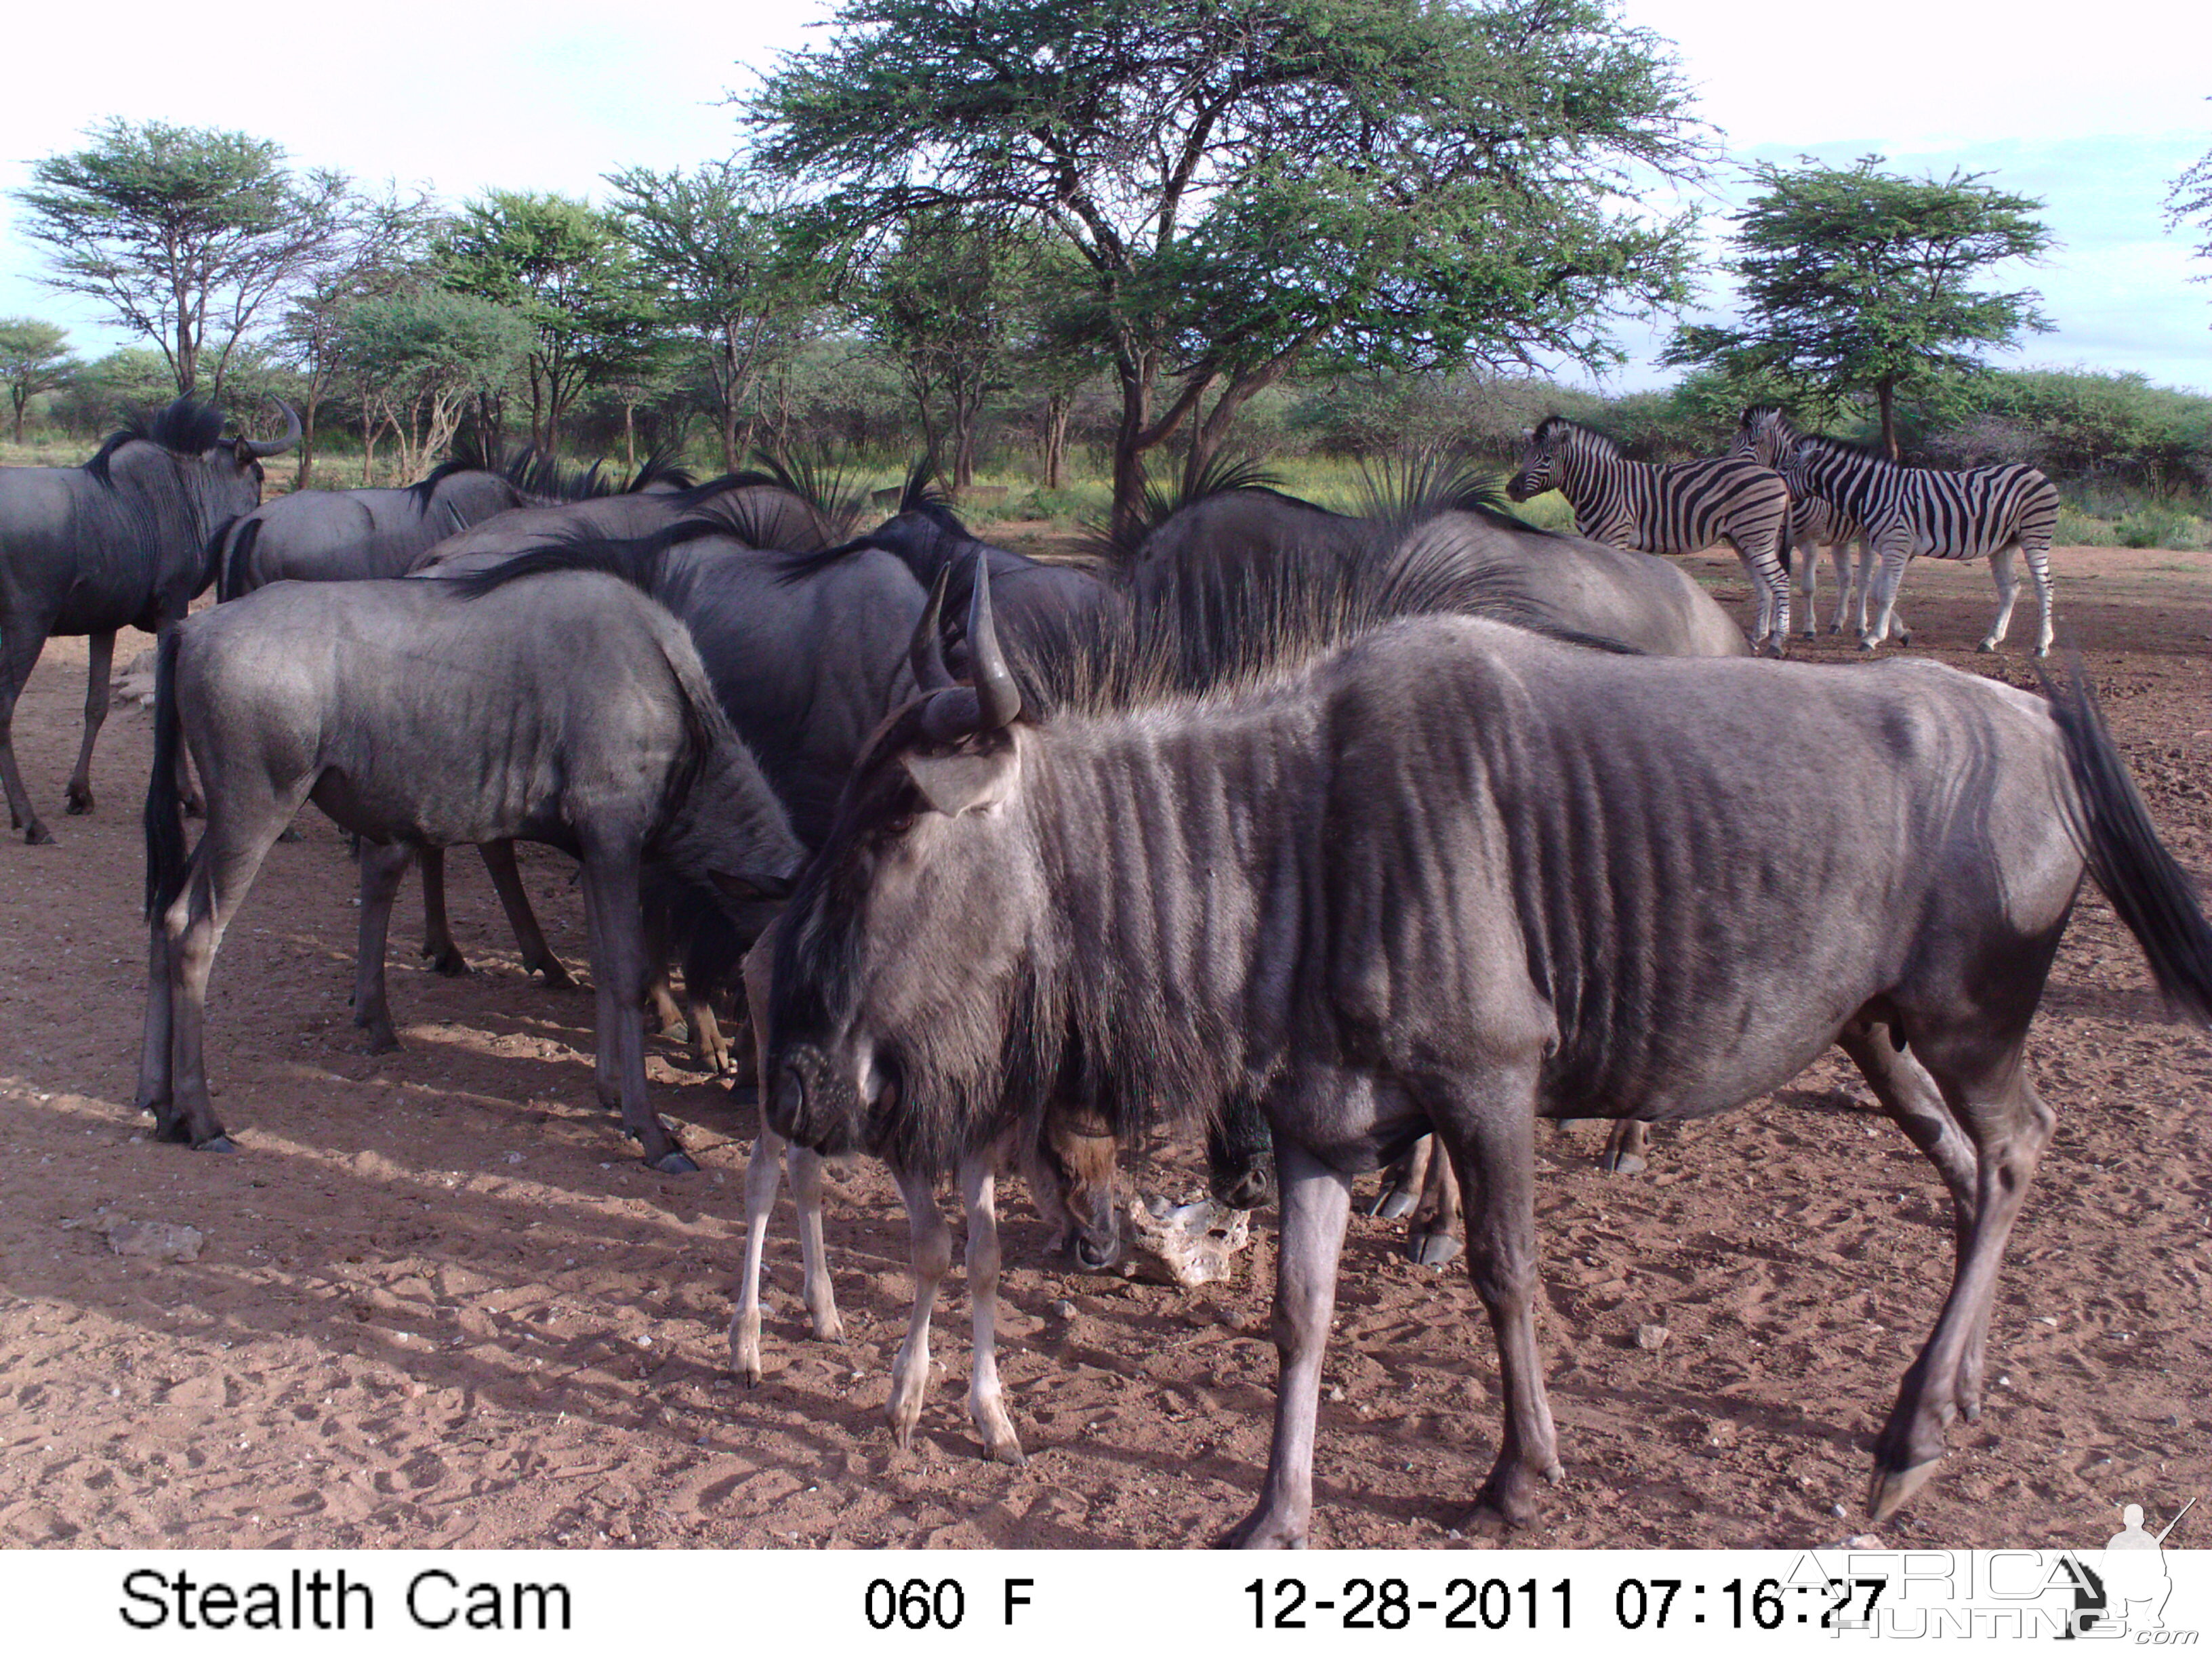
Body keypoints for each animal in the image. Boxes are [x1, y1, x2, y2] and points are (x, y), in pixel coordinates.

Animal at [1504, 417, 1796, 655]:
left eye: (1546, 459)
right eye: (1526, 455)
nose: (1512, 489)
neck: (1596, 485)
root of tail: (1775, 474)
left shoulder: (1615, 536)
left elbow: (1616, 584)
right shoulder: (1593, 539)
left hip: (1756, 535)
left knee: (1780, 580)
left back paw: (1777, 643)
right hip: (1742, 539)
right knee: (1763, 584)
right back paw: (1756, 639)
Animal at [1734, 407, 2062, 655]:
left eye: (1786, 469)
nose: (1767, 487)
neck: (1873, 491)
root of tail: (2034, 470)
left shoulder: (1897, 545)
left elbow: (1886, 593)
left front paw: (1872, 638)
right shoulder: (1890, 547)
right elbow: (1878, 591)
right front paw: (1898, 632)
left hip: (2034, 537)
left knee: (2044, 586)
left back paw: (2042, 645)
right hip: (2003, 545)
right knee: (2011, 588)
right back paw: (1991, 640)